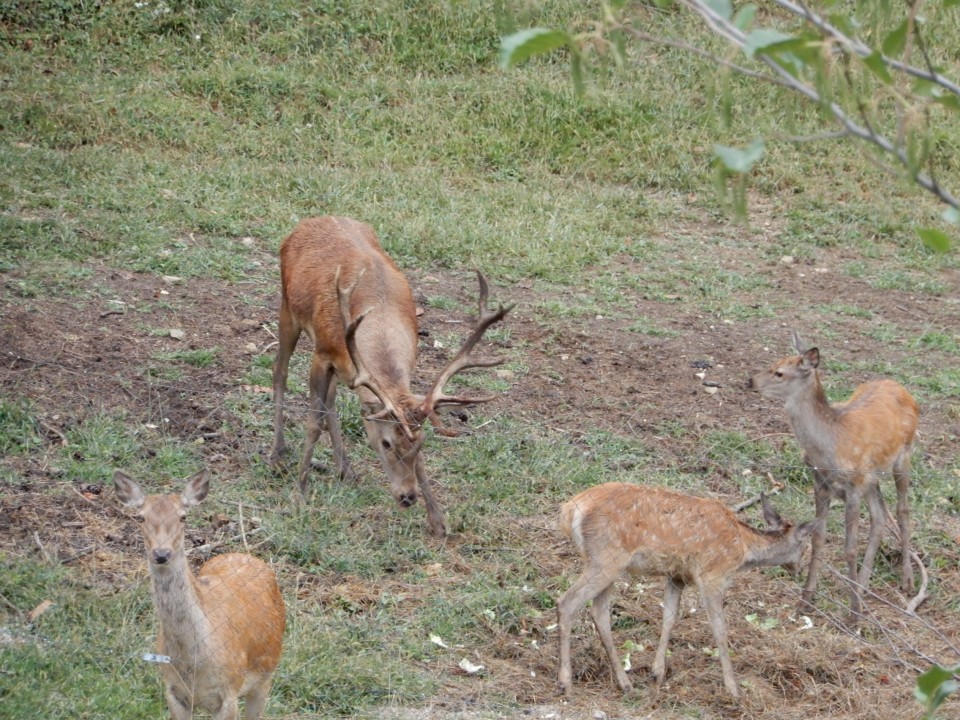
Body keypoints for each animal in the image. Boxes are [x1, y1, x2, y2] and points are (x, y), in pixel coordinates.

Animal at [113, 470, 284, 716]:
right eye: (141, 517)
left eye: (183, 517)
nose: (162, 553)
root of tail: (247, 555)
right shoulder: (173, 692)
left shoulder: (229, 693)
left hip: (266, 674)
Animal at [556, 484, 816, 696]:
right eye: (805, 545)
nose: (799, 570)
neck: (743, 547)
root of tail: (570, 510)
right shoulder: (712, 575)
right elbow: (720, 629)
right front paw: (733, 689)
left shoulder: (676, 576)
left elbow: (670, 617)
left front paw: (657, 672)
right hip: (605, 558)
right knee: (567, 602)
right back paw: (565, 683)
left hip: (608, 564)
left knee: (599, 612)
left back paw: (625, 683)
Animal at [748, 332, 920, 620]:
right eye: (772, 364)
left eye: (779, 373)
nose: (749, 381)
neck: (829, 447)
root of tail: (901, 388)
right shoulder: (821, 484)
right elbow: (818, 539)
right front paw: (805, 600)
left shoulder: (853, 488)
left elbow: (849, 549)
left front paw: (853, 614)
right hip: (872, 479)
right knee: (880, 516)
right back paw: (862, 586)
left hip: (903, 457)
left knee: (903, 511)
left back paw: (906, 581)